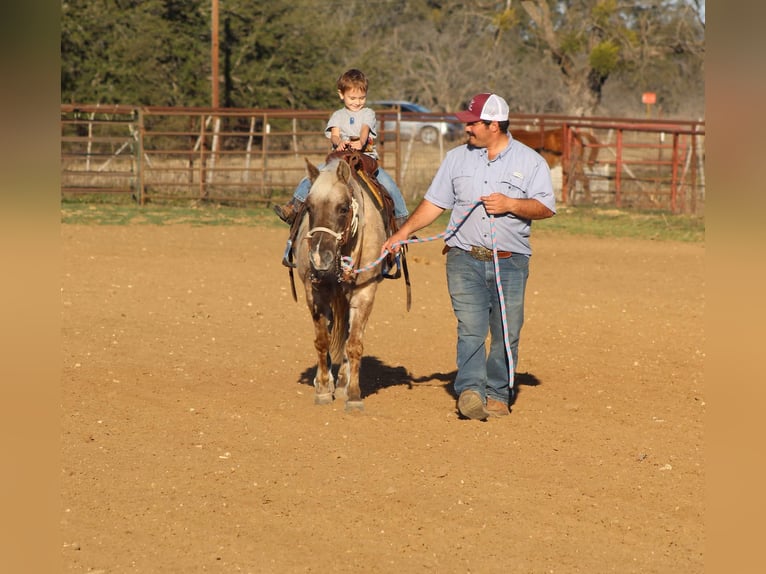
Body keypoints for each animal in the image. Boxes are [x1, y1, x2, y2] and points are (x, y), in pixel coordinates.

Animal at [292, 154, 388, 411]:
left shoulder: (364, 293)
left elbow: (354, 344)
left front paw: (354, 395)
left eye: (343, 208)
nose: (319, 258)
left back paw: (344, 382)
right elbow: (322, 342)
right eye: (309, 207)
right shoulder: (315, 293)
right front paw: (324, 389)